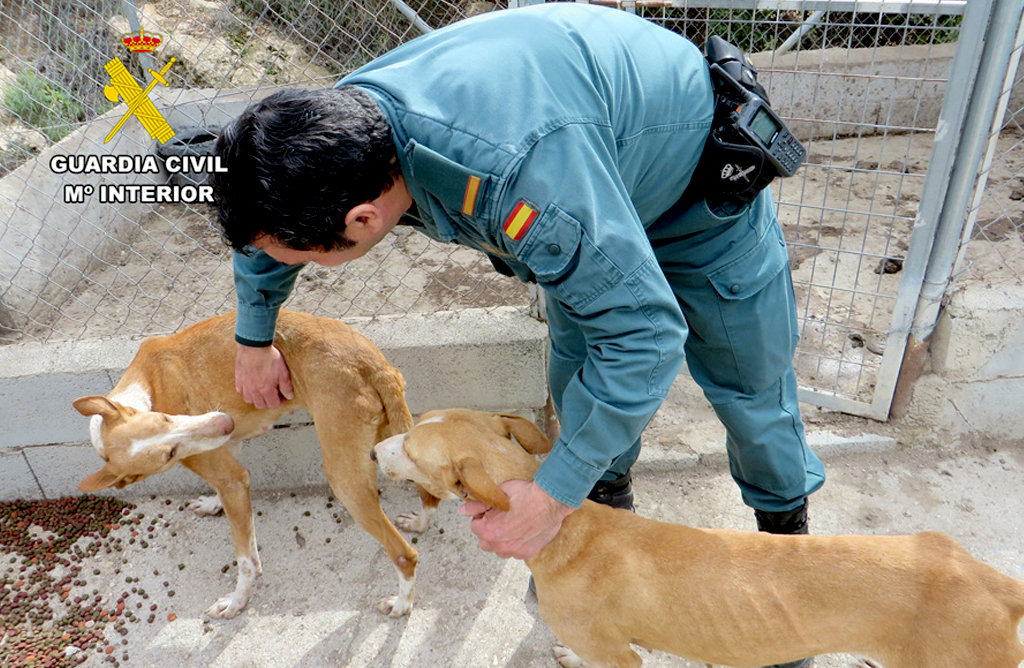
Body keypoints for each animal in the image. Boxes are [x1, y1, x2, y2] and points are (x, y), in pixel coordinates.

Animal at [73, 311, 440, 618]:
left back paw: (402, 604)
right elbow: (234, 507)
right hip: (398, 440)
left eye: (166, 419)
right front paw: (213, 503)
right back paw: (420, 523)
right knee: (429, 495)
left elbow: (247, 561)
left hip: (345, 480)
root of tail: (374, 364)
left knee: (404, 553)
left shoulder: (232, 477)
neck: (146, 383)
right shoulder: (231, 465)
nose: (224, 422)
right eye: (168, 453)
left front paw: (237, 601)